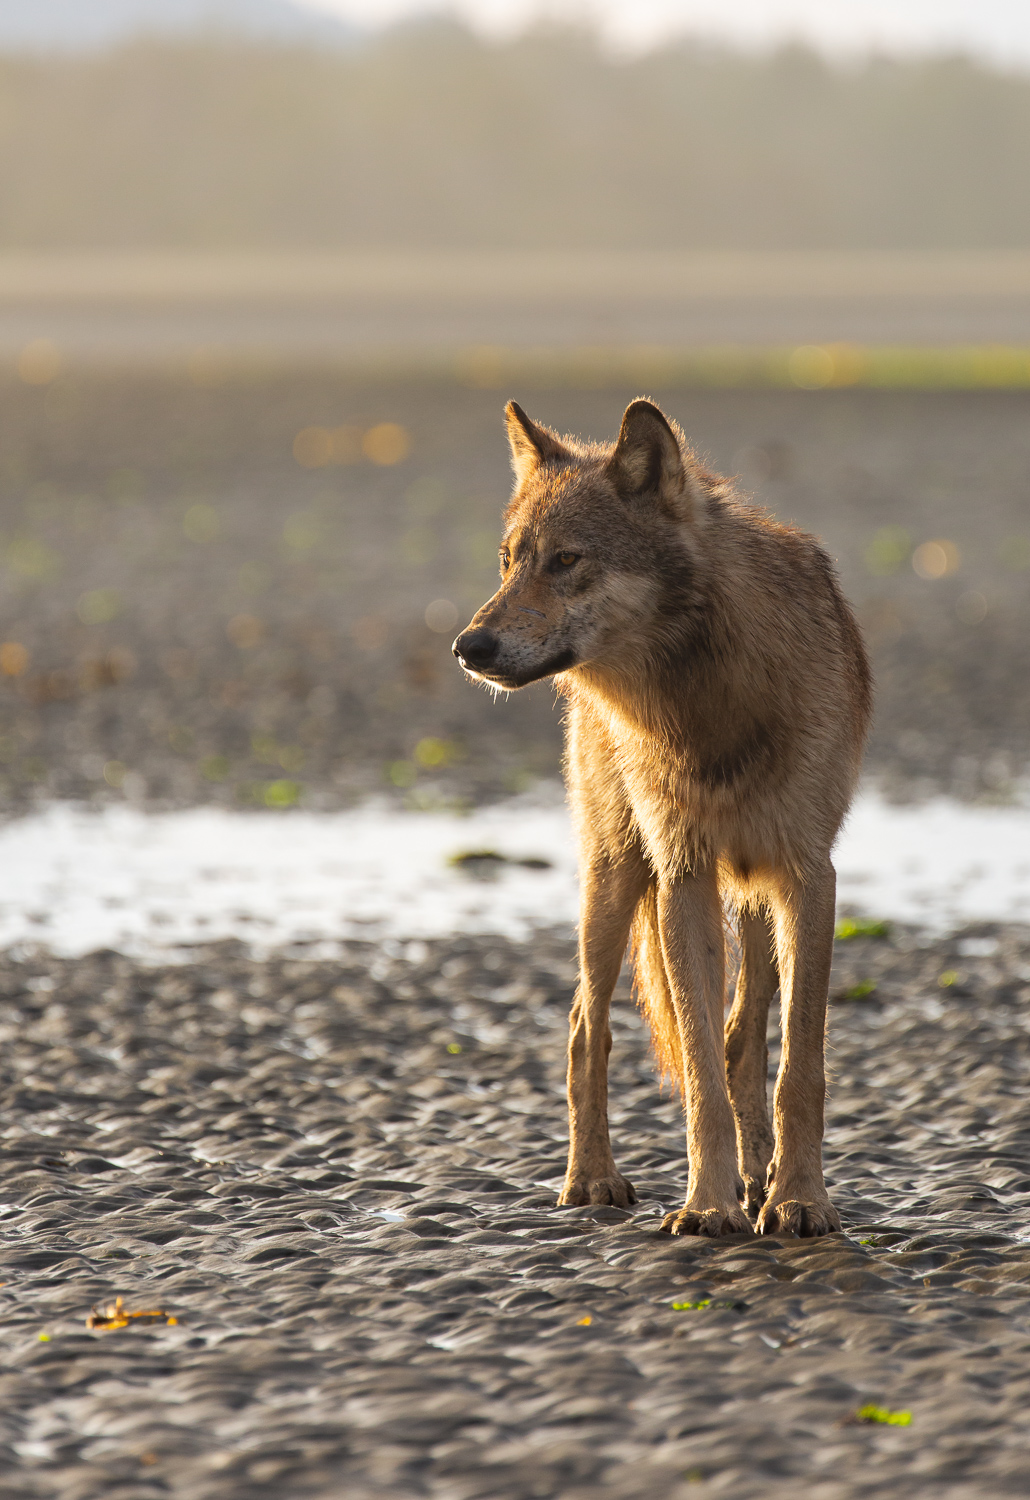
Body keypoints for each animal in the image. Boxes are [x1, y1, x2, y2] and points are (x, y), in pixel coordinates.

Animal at [453, 399, 871, 1237]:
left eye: (566, 560)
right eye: (509, 561)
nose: (467, 647)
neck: (706, 708)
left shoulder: (809, 879)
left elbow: (797, 1068)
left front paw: (798, 1199)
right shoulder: (684, 879)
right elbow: (701, 1075)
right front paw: (708, 1205)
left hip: (755, 904)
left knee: (746, 1036)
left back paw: (759, 1177)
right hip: (615, 878)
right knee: (586, 1028)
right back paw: (591, 1180)